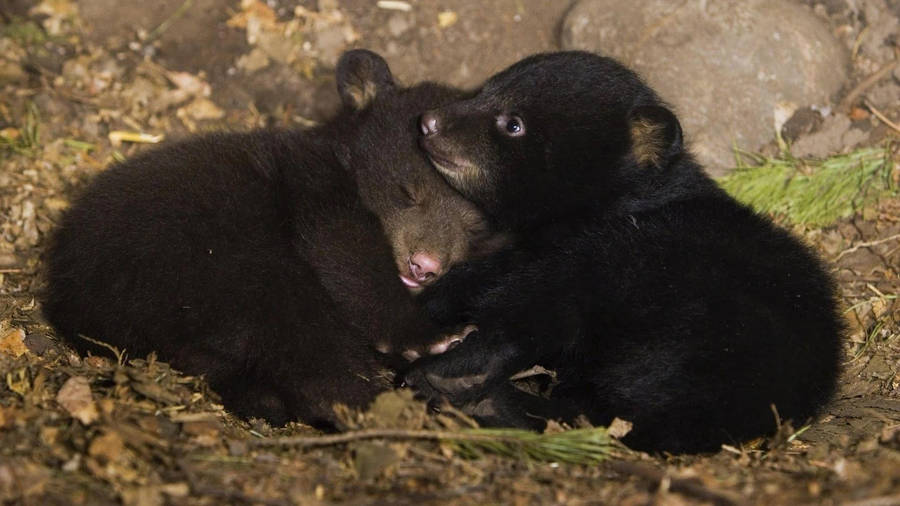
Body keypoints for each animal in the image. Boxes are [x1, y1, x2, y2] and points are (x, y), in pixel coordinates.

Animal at [42, 49, 497, 428]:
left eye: (475, 227)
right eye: (406, 192)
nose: (424, 266)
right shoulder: (313, 187)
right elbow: (346, 255)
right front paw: (432, 337)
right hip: (202, 263)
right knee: (296, 328)